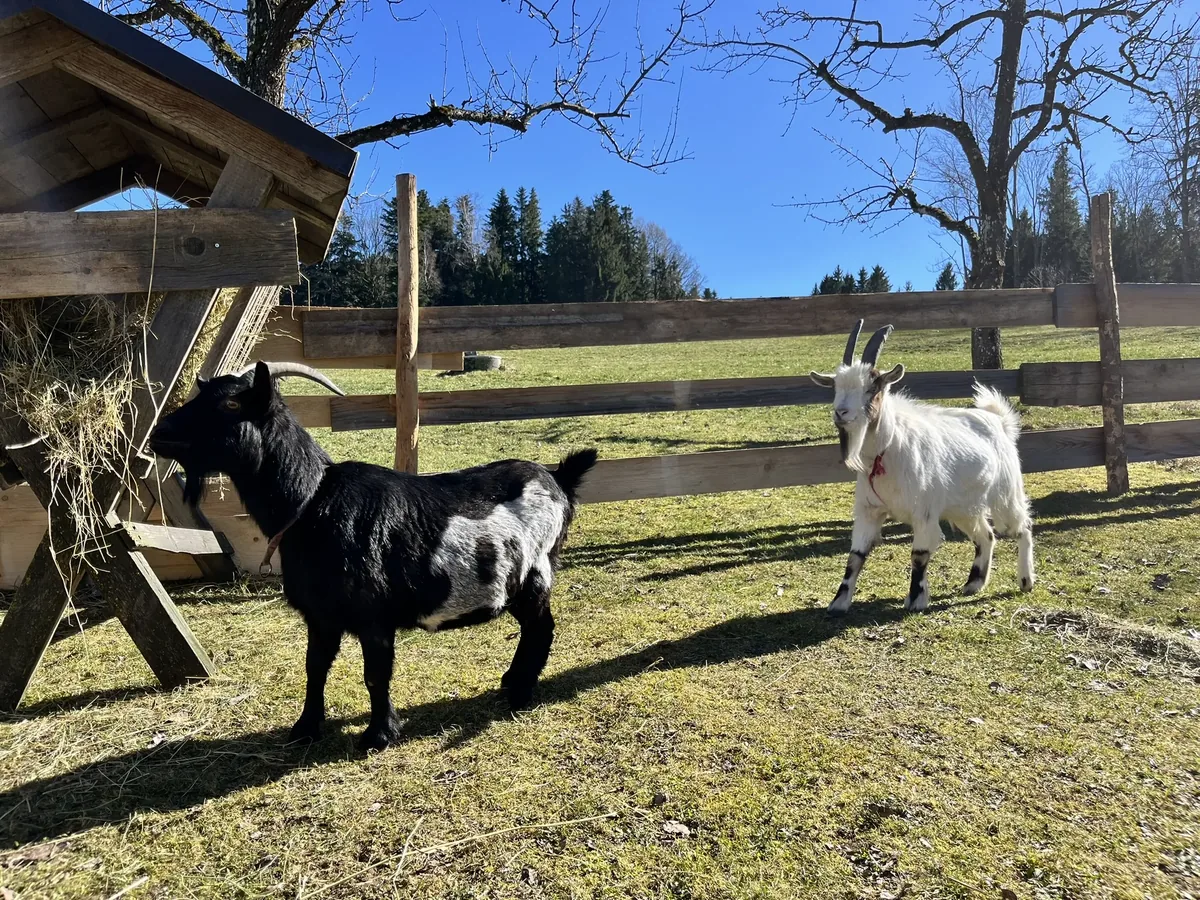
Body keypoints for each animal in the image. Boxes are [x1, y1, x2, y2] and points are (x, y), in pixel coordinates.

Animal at [149, 361, 598, 751]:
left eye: (230, 404)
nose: (159, 432)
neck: (313, 502)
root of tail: (558, 477)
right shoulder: (321, 616)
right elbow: (315, 668)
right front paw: (305, 729)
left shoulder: (373, 616)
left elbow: (375, 674)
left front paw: (378, 736)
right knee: (531, 628)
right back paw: (511, 681)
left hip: (535, 574)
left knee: (541, 627)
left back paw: (521, 693)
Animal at [809, 320, 1035, 614]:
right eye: (836, 385)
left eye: (873, 386)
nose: (841, 412)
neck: (887, 452)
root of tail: (998, 420)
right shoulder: (869, 511)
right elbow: (855, 557)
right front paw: (839, 603)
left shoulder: (924, 512)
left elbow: (918, 556)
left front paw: (916, 600)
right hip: (964, 507)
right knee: (986, 536)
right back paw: (974, 583)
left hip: (1005, 495)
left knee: (1023, 527)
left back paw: (1026, 581)